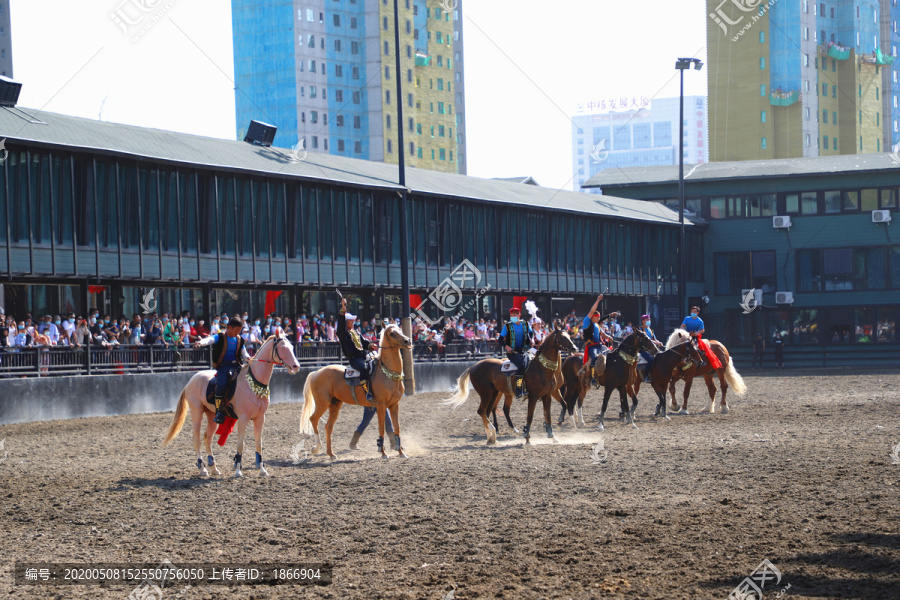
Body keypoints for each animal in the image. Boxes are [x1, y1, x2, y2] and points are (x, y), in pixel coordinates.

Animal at [160, 332, 300, 478]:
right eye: (283, 347)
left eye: (291, 346)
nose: (296, 366)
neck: (253, 383)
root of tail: (191, 380)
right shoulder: (243, 418)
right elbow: (240, 444)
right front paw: (238, 470)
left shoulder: (260, 418)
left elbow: (258, 444)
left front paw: (263, 470)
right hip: (196, 411)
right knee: (196, 438)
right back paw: (203, 469)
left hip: (212, 415)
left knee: (207, 437)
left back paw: (214, 468)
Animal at [302, 324, 414, 460]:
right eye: (392, 333)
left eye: (400, 330)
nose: (407, 341)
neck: (386, 373)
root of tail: (316, 373)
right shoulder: (381, 405)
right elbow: (381, 428)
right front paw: (383, 453)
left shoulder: (394, 405)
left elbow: (397, 428)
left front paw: (401, 452)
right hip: (322, 403)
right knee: (313, 419)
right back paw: (316, 448)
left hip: (335, 404)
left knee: (328, 427)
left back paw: (331, 454)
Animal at [442, 324, 576, 446]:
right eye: (562, 337)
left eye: (569, 336)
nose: (574, 348)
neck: (541, 368)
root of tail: (473, 367)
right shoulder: (533, 397)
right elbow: (530, 417)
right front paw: (527, 438)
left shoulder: (547, 396)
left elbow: (548, 416)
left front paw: (553, 438)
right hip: (486, 394)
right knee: (482, 411)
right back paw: (493, 431)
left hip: (494, 393)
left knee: (487, 412)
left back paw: (491, 438)